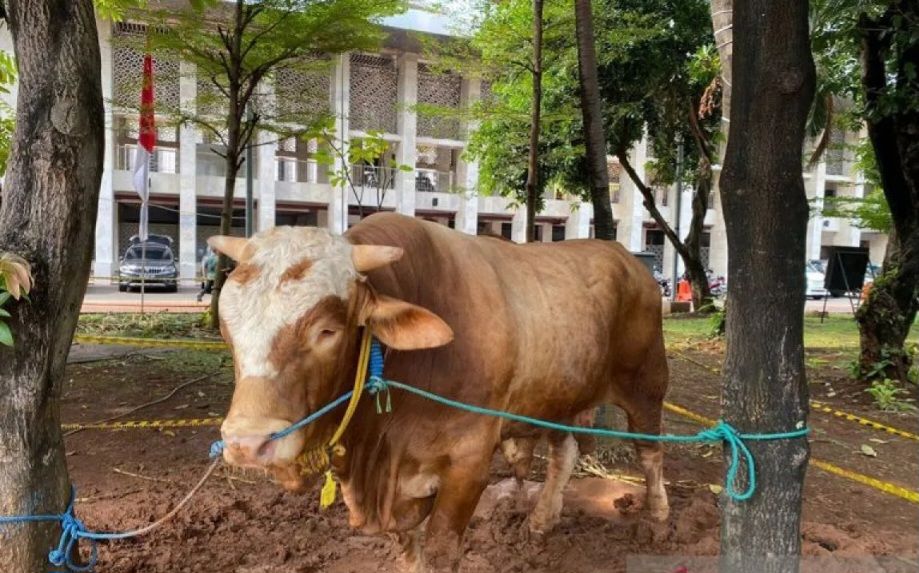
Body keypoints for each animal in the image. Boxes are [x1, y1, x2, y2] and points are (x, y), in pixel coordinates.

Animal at [209, 212, 668, 568]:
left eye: (327, 331)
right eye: (227, 328)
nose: (248, 443)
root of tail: (624, 256)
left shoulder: (468, 464)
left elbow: (443, 548)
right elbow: (409, 551)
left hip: (646, 382)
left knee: (650, 451)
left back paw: (659, 519)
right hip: (559, 395)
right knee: (564, 452)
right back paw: (541, 521)